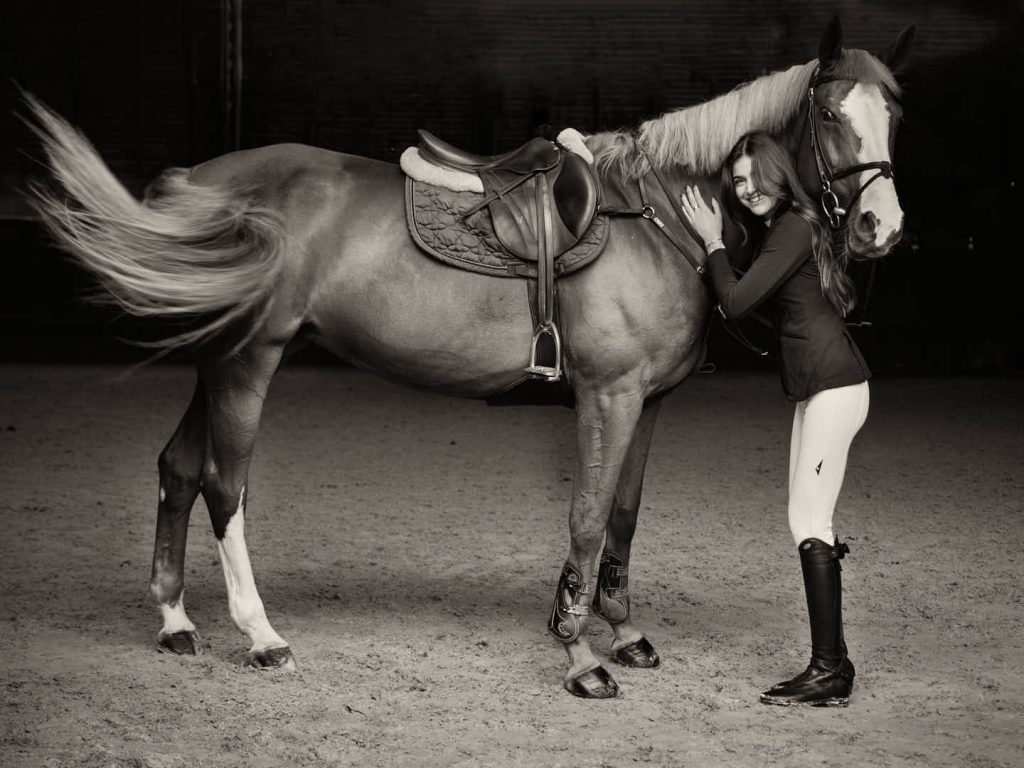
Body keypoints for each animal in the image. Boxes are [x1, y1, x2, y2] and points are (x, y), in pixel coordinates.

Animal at [24, 17, 913, 698]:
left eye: (894, 115)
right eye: (829, 113)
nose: (883, 226)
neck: (658, 215)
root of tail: (197, 181)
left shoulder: (650, 400)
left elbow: (624, 516)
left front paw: (624, 633)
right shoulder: (609, 395)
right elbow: (587, 516)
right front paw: (580, 656)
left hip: (216, 360)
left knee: (178, 467)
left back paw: (176, 621)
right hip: (249, 360)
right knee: (222, 485)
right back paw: (261, 634)